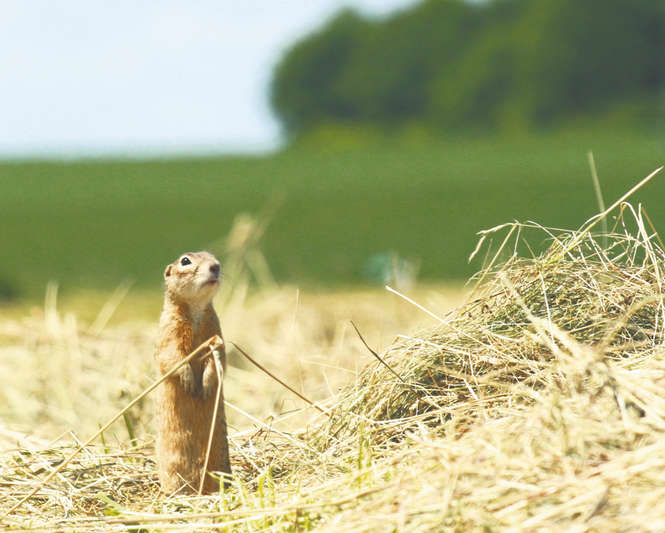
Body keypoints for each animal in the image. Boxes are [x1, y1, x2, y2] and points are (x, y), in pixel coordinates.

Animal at [156, 251, 231, 492]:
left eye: (213, 256)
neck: (196, 309)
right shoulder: (169, 331)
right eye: (185, 261)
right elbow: (172, 356)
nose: (216, 266)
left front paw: (206, 384)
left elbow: (219, 358)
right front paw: (189, 381)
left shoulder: (216, 334)